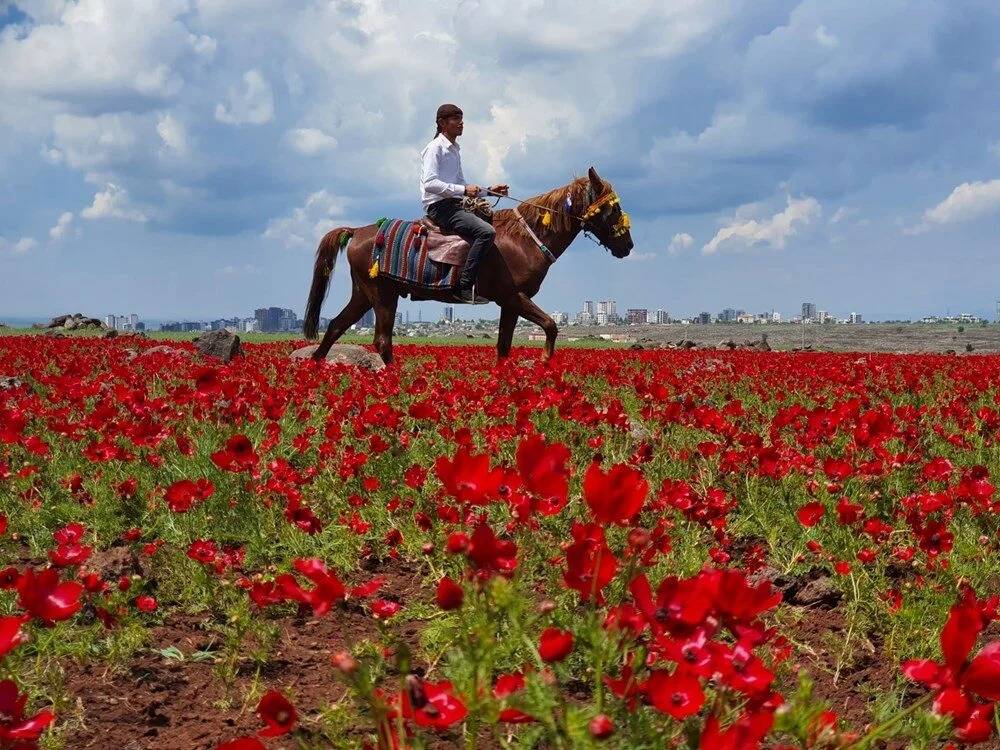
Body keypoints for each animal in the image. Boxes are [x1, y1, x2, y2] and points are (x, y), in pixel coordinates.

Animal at [304, 167, 632, 364]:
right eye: (613, 208)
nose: (628, 245)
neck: (524, 239)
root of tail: (357, 231)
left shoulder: (510, 304)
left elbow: (503, 346)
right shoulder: (513, 296)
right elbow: (551, 326)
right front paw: (544, 362)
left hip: (364, 293)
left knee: (334, 327)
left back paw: (315, 371)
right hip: (383, 294)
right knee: (382, 340)